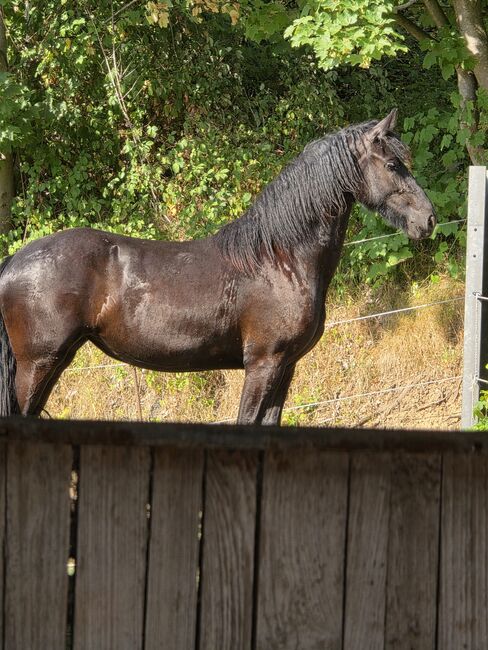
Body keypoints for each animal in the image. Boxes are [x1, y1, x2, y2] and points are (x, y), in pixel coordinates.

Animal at [0, 109, 435, 423]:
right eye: (393, 165)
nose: (428, 220)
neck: (280, 258)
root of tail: (14, 261)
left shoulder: (286, 367)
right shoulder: (263, 364)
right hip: (38, 363)